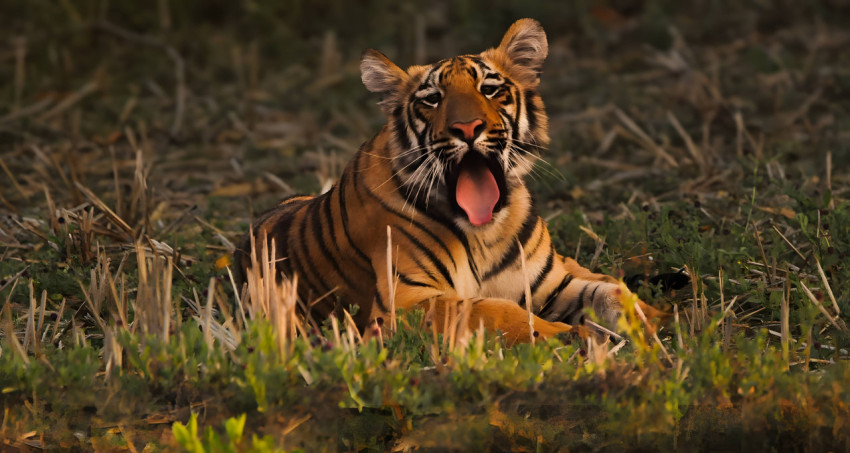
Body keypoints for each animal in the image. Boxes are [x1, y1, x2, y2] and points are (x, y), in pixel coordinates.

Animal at [235, 19, 667, 344]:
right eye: (432, 99)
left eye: (490, 90)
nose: (467, 128)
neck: (487, 230)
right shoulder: (404, 301)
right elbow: (493, 309)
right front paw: (568, 335)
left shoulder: (553, 281)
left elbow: (613, 290)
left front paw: (656, 321)